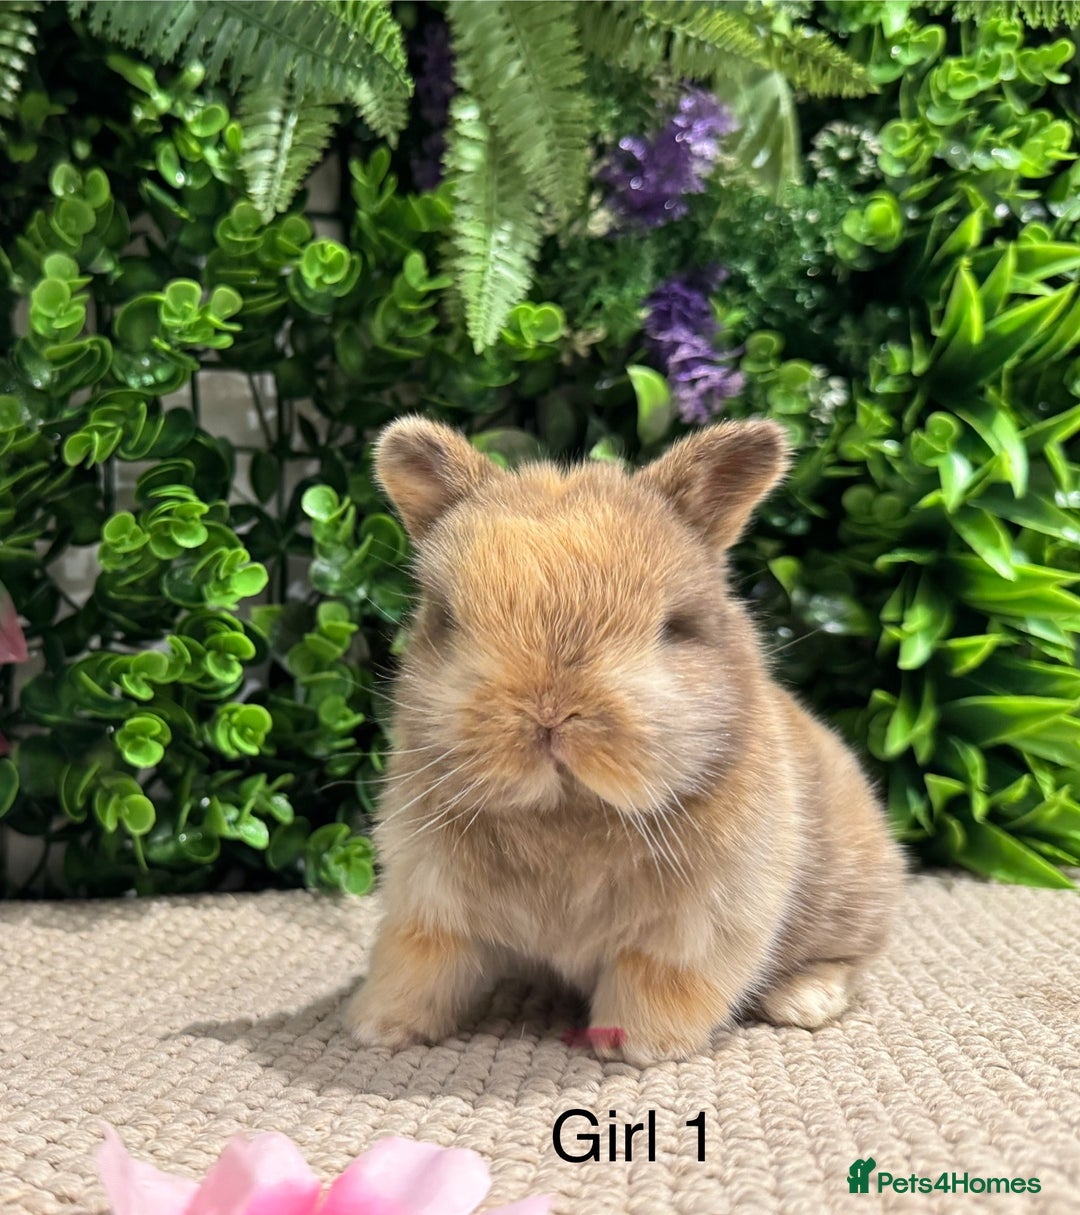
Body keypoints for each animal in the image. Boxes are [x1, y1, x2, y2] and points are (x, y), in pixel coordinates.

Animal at [344, 416, 905, 1066]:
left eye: (672, 627)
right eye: (447, 620)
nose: (549, 713)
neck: (565, 813)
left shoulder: (698, 929)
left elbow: (656, 980)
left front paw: (638, 1046)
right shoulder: (427, 905)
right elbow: (417, 967)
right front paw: (379, 1028)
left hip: (848, 900)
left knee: (847, 960)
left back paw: (802, 1001)